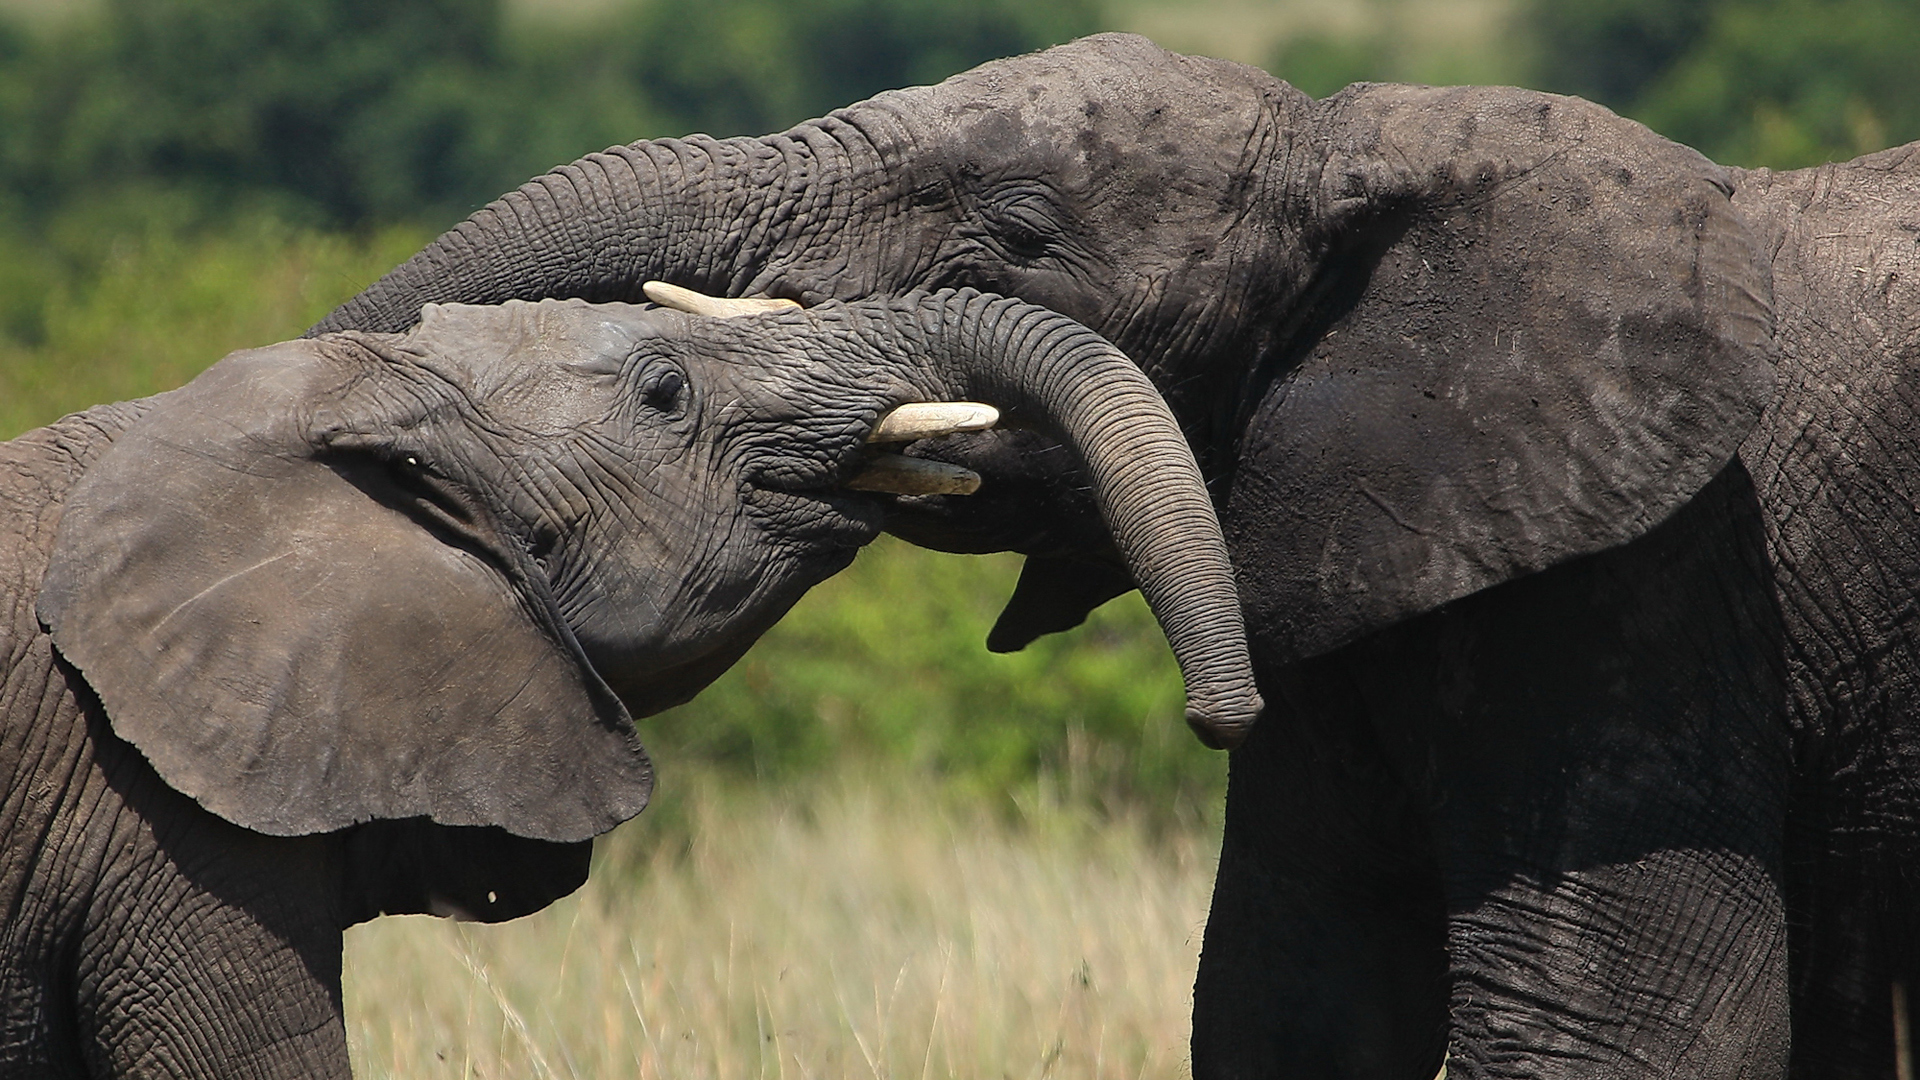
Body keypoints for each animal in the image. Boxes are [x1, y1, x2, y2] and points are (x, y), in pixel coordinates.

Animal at [309, 30, 1920, 1079]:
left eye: (1022, 230)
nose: (1216, 712)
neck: (1360, 151)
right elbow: (1289, 995)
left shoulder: (1655, 577)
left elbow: (1623, 1019)